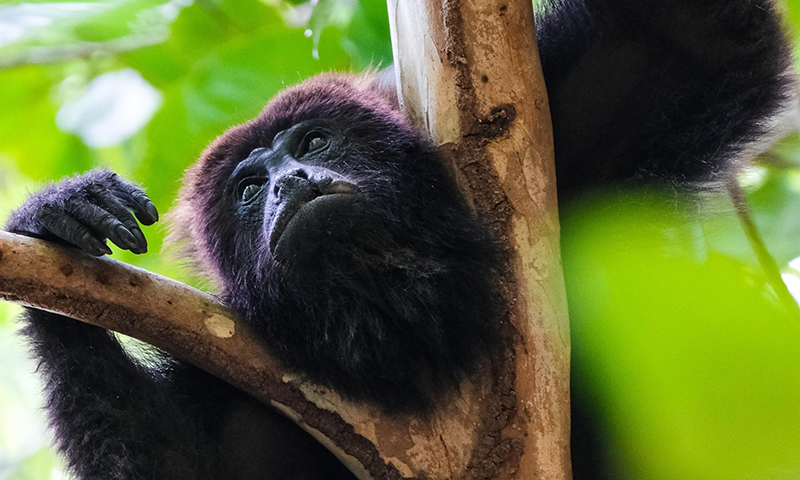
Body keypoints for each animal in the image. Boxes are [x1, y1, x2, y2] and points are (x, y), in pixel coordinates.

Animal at [4, 0, 794, 479]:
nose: (291, 184)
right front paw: (57, 218)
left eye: (314, 141)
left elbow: (695, 39)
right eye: (249, 189)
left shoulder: (583, 138)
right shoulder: (241, 393)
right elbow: (171, 464)